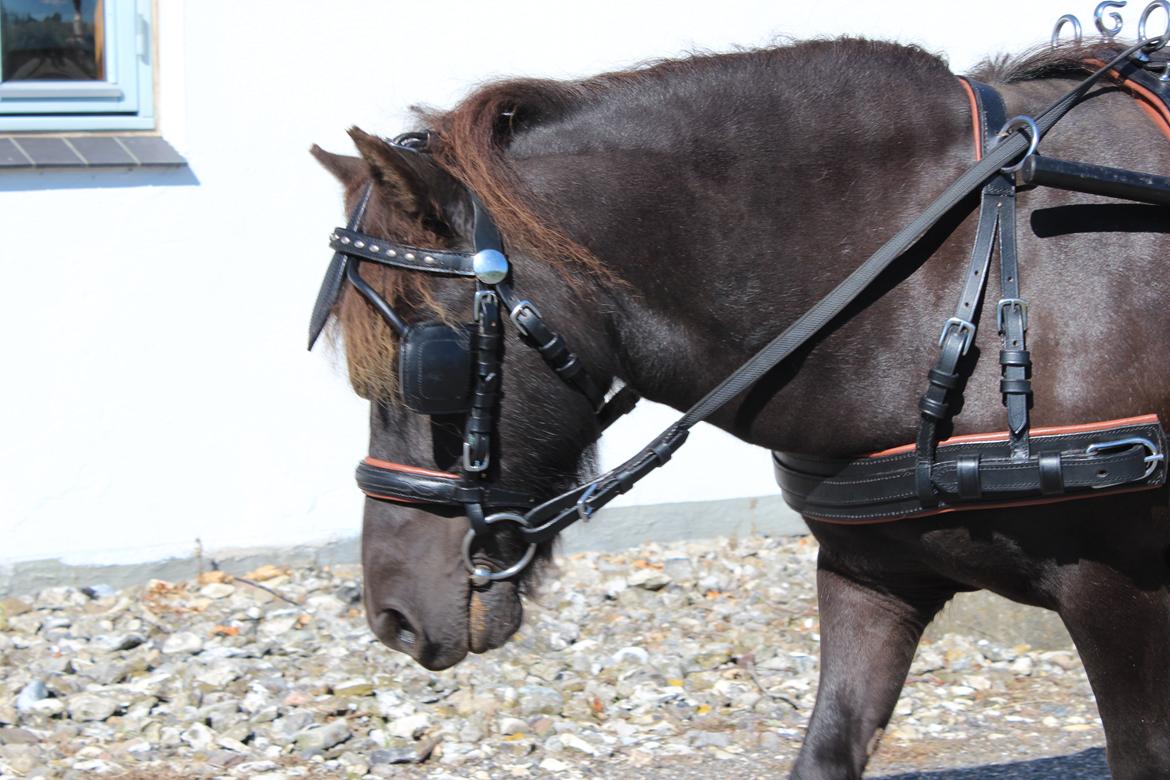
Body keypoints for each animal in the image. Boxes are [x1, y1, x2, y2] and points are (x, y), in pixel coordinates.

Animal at [311, 38, 1170, 780]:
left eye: (429, 365)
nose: (389, 615)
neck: (955, 269)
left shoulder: (1119, 594)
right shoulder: (873, 575)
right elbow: (828, 748)